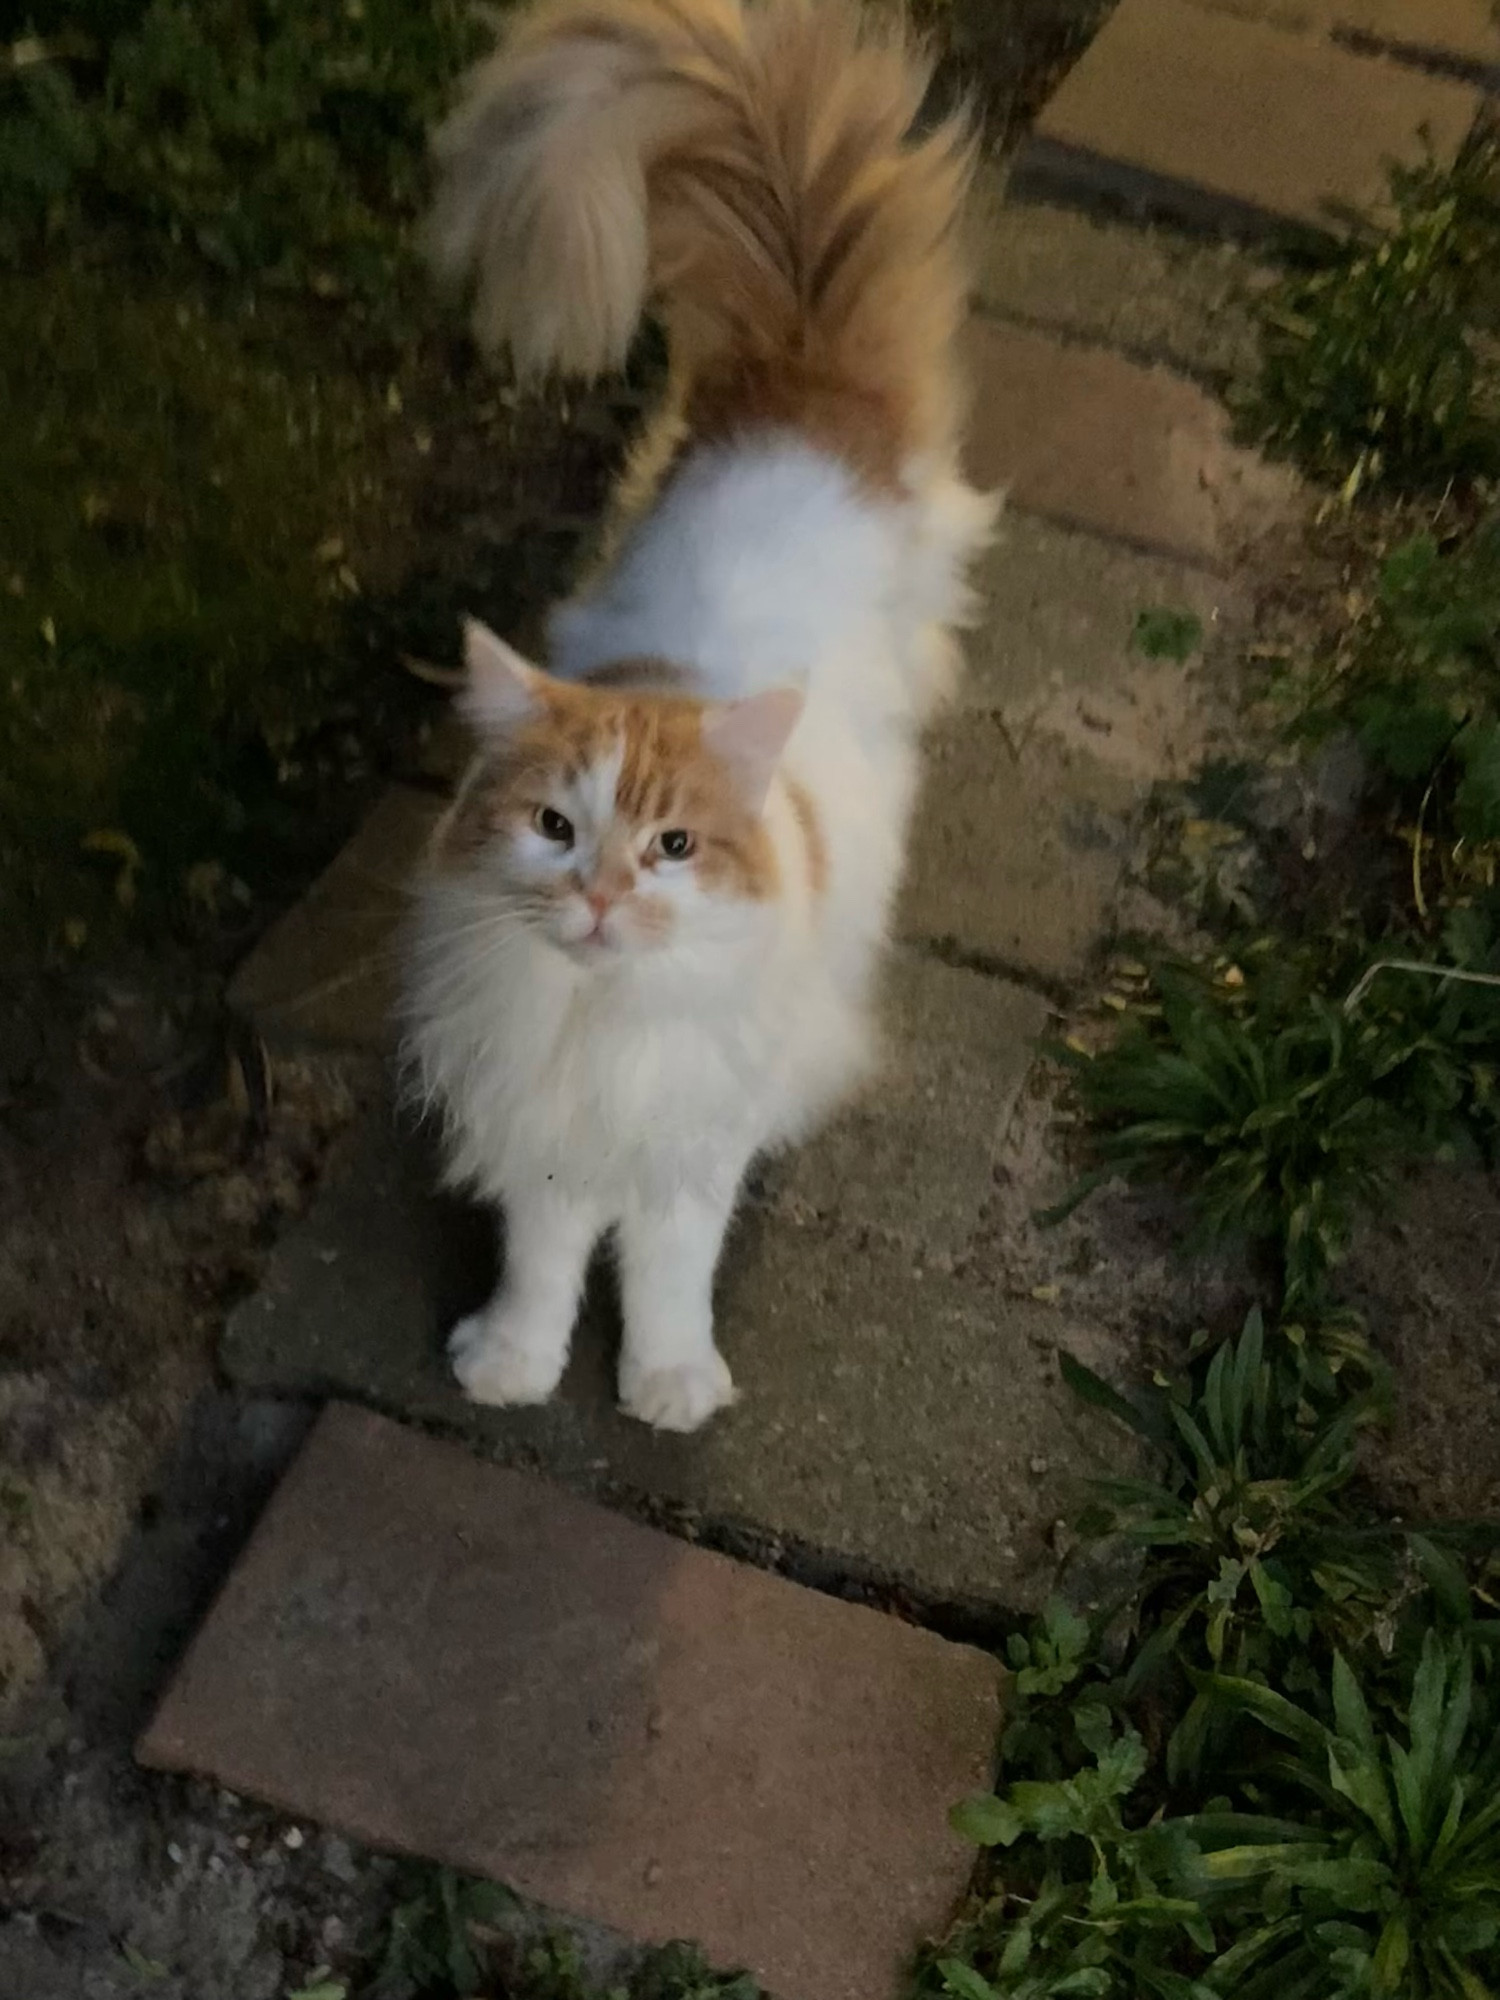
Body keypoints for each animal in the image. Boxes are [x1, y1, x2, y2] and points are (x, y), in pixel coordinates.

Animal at [406, 0, 1004, 1440]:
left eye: (673, 847)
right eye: (555, 828)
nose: (604, 896)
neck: (601, 1020)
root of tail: (797, 393)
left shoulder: (691, 1144)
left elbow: (669, 1274)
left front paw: (668, 1384)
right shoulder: (546, 1139)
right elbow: (544, 1266)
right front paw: (514, 1364)